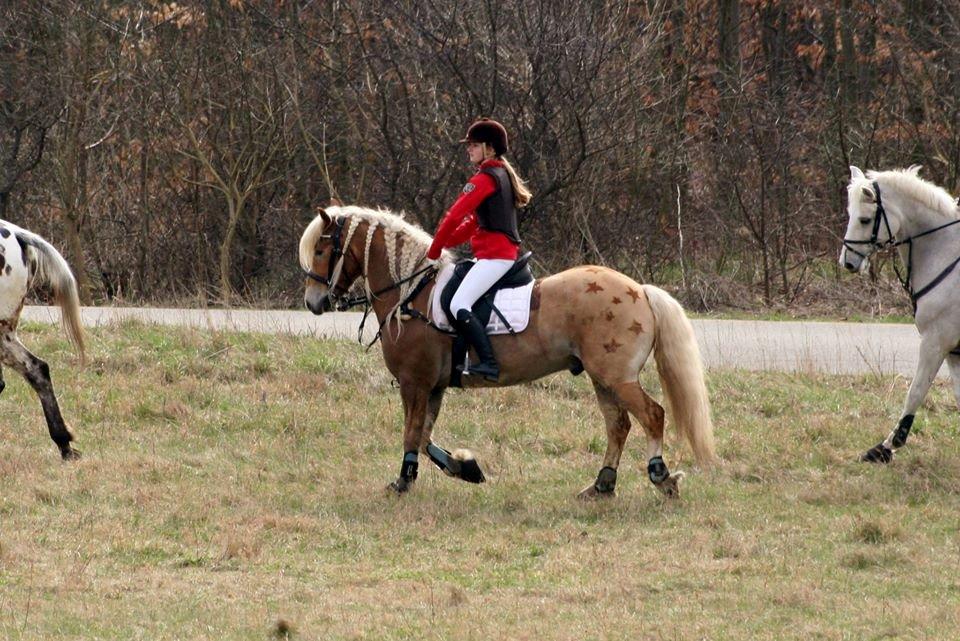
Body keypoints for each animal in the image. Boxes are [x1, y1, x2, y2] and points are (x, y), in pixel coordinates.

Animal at [298, 208, 712, 498]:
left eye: (321, 249)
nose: (313, 302)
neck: (411, 292)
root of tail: (639, 290)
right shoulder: (434, 385)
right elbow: (426, 435)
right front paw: (466, 468)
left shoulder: (414, 382)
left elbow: (412, 433)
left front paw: (403, 480)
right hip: (602, 378)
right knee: (618, 426)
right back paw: (601, 486)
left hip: (617, 376)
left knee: (651, 416)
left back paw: (660, 476)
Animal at [836, 168, 960, 462]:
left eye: (864, 219)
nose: (847, 262)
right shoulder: (953, 351)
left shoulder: (936, 342)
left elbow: (915, 392)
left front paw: (886, 446)